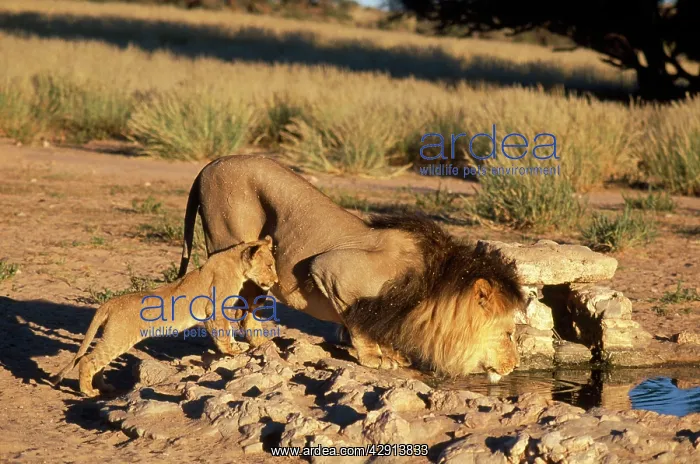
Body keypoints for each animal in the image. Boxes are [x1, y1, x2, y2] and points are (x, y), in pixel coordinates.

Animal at [53, 237, 277, 397]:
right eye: (269, 265)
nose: (275, 281)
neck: (236, 263)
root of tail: (109, 303)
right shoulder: (213, 310)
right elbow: (223, 334)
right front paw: (232, 351)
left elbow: (228, 332)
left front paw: (237, 346)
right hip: (118, 338)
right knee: (88, 360)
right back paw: (89, 391)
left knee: (98, 362)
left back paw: (105, 387)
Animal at [178, 155, 526, 382]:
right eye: (509, 333)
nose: (515, 367)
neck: (432, 290)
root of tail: (209, 165)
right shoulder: (333, 270)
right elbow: (359, 322)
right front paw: (374, 358)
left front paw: (393, 354)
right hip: (231, 240)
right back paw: (230, 348)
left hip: (258, 269)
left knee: (249, 308)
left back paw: (262, 344)